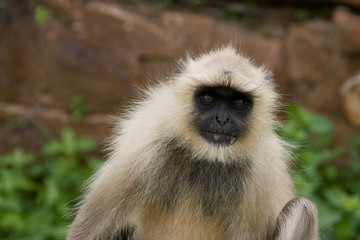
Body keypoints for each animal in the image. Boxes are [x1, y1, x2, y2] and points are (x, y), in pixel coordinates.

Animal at [67, 46, 318, 239]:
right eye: (208, 98)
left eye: (238, 102)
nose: (222, 119)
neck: (206, 157)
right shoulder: (143, 149)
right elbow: (86, 231)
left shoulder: (261, 172)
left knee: (303, 208)